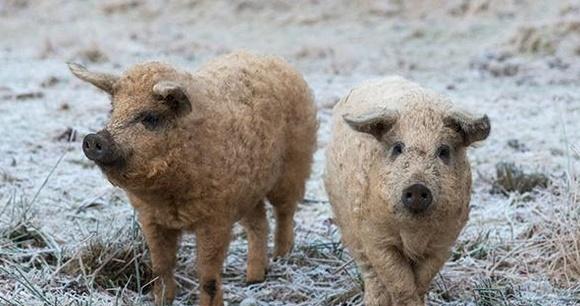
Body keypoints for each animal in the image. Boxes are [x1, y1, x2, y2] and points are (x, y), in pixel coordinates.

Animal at [69, 51, 318, 304]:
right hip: (249, 190)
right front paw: (162, 300)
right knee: (259, 222)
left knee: (285, 211)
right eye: (113, 110)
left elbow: (207, 274)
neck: (168, 194)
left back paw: (281, 257)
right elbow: (161, 267)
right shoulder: (150, 218)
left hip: (295, 163)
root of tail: (268, 57)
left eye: (150, 118)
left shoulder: (216, 217)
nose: (92, 139)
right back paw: (254, 279)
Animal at [324, 77, 492, 306]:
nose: (417, 187)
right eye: (398, 148)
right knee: (371, 275)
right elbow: (399, 281)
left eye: (443, 151)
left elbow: (421, 281)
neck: (414, 233)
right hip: (347, 225)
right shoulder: (376, 238)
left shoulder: (444, 242)